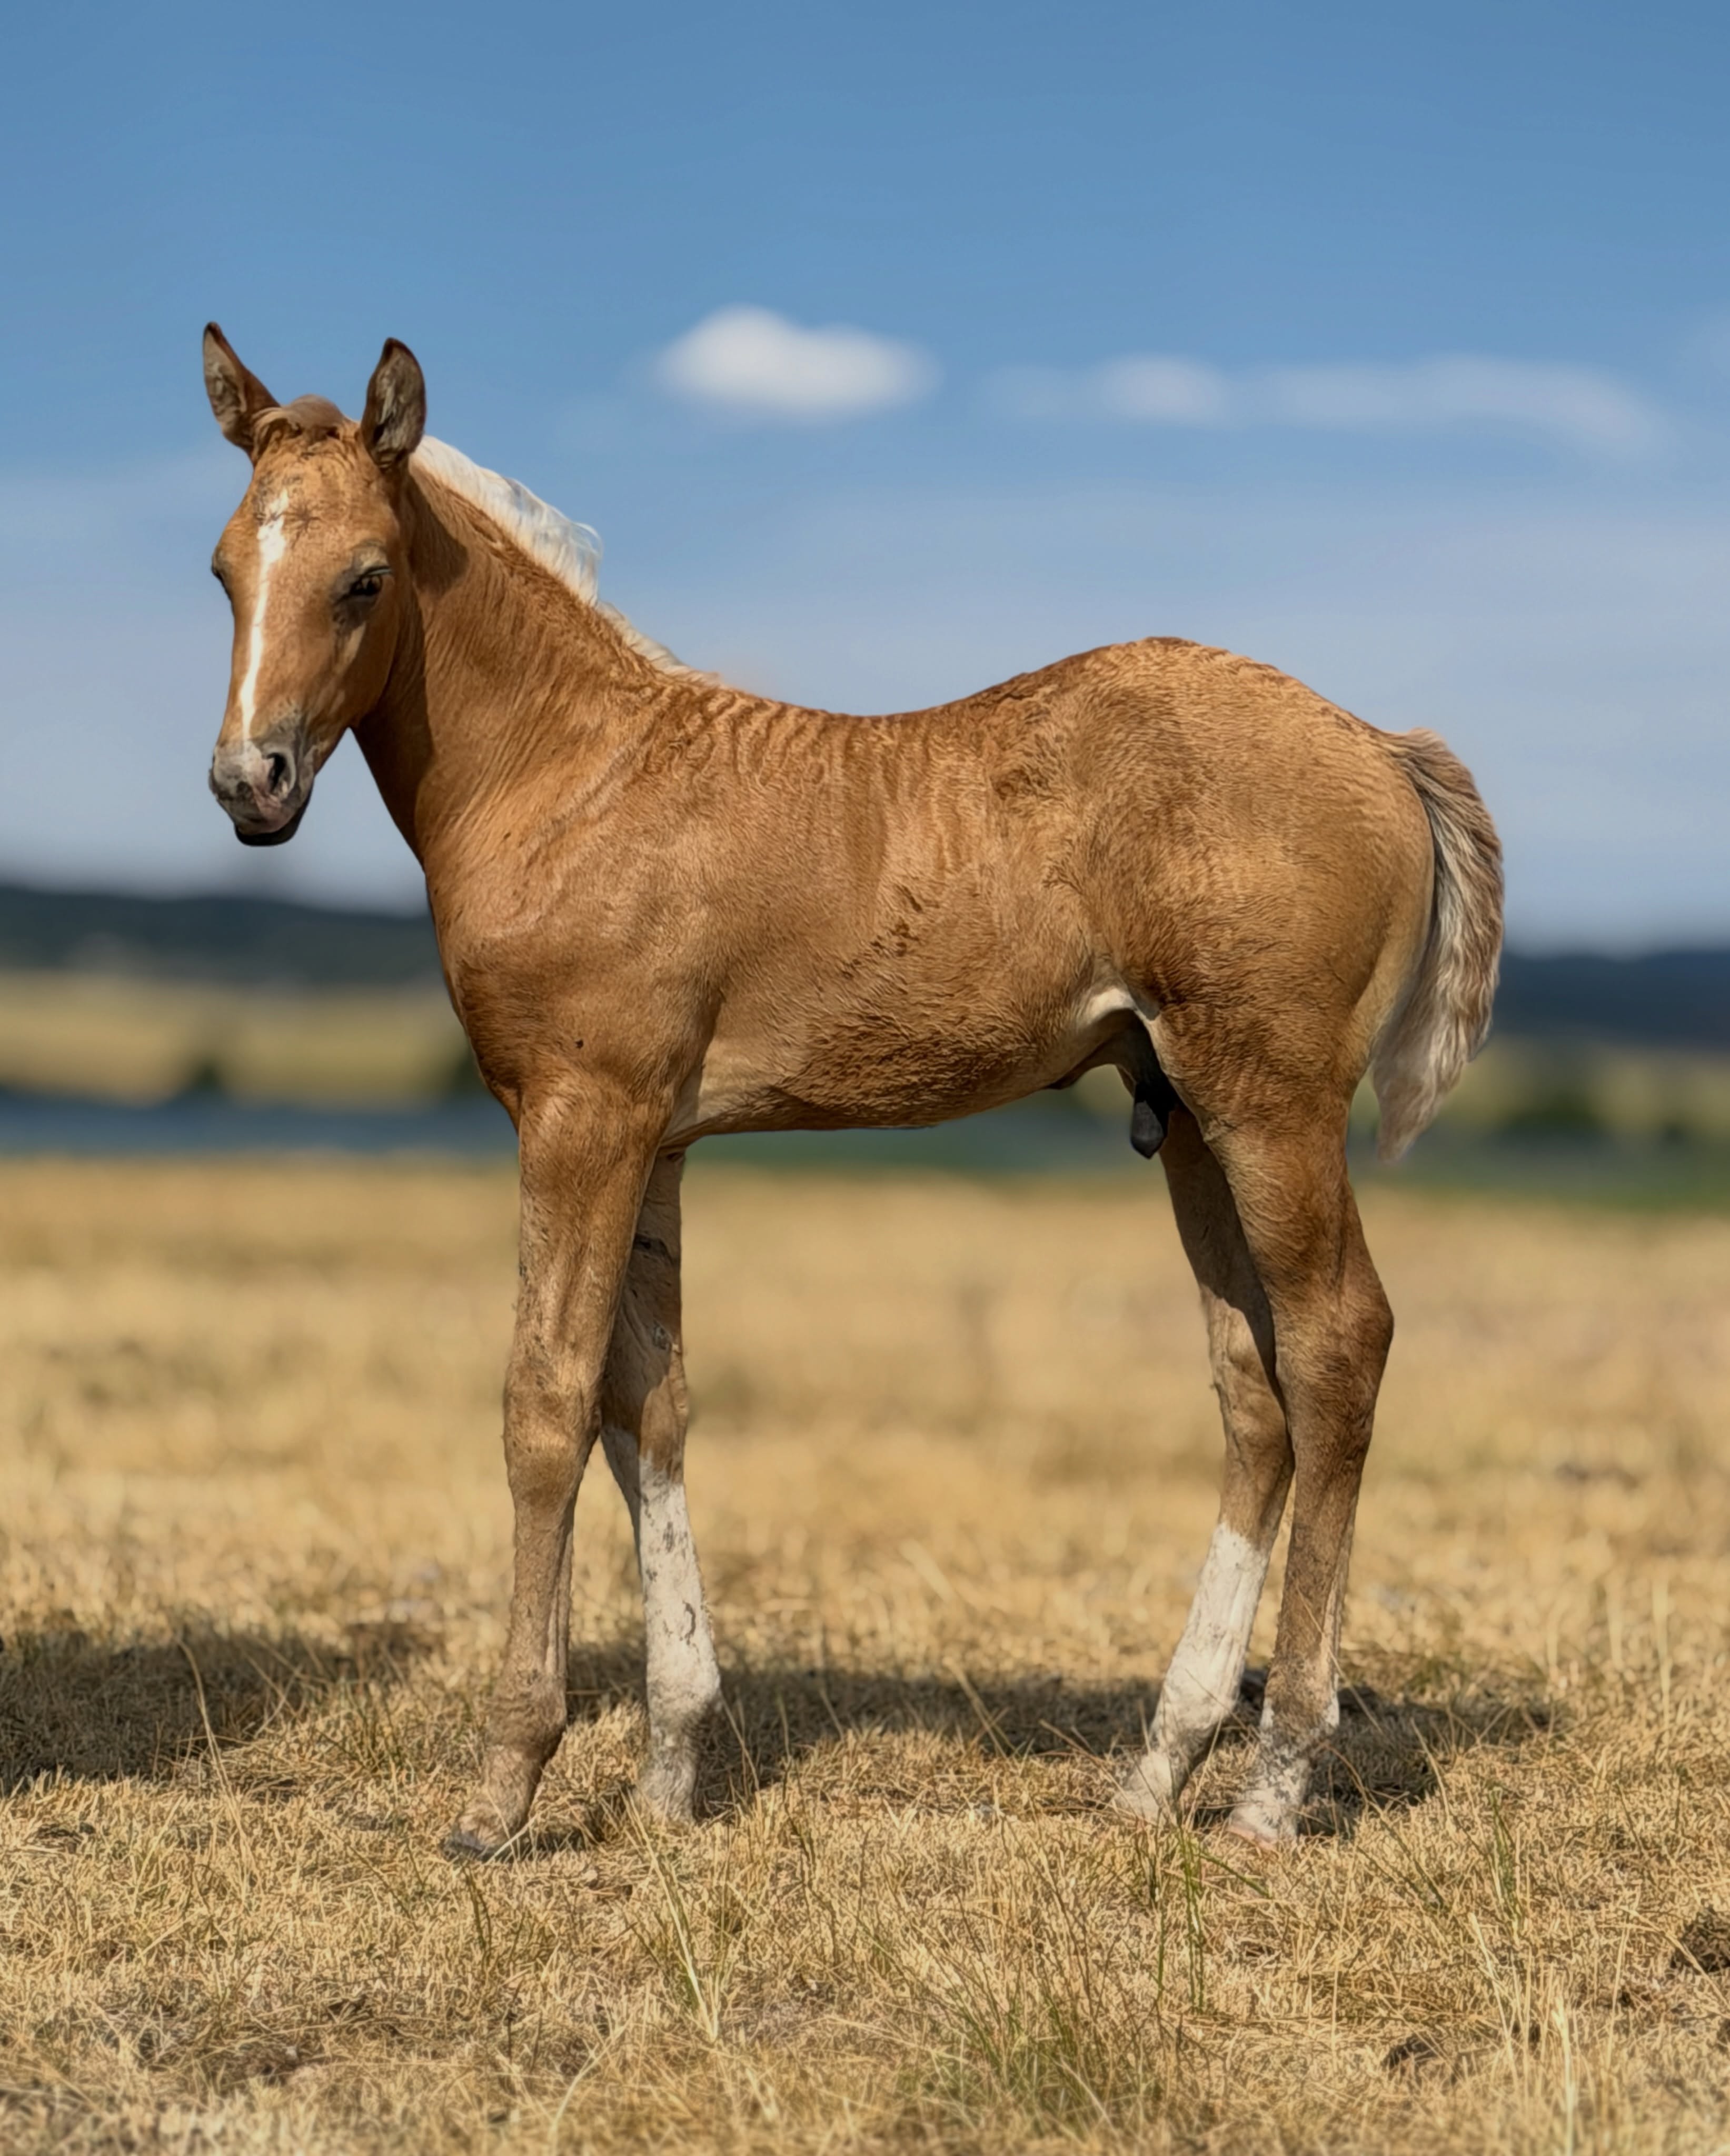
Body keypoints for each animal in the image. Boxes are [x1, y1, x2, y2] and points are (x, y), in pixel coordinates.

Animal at [199, 327, 1501, 1856]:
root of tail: (1378, 743)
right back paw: (1156, 1770)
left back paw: (1277, 1779)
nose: (249, 782)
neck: (570, 776)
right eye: (224, 570)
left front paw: (503, 1785)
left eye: (363, 578)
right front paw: (672, 1772)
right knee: (1254, 1390)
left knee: (1336, 1346)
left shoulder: (581, 1119)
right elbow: (651, 1407)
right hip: (1187, 1116)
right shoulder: (655, 1141)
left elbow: (546, 1405)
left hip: (1272, 1106)